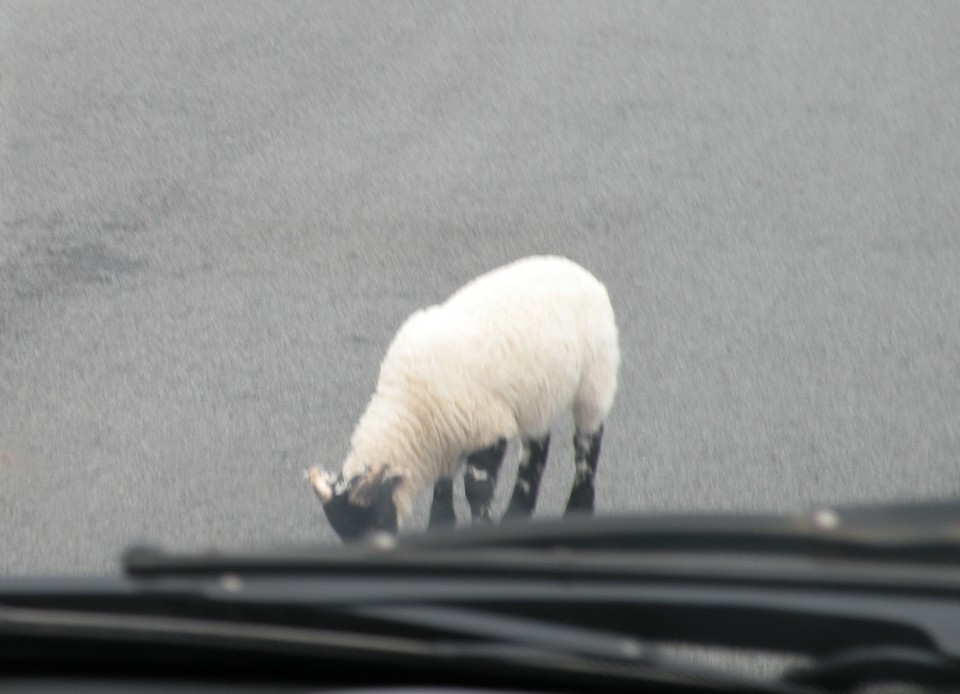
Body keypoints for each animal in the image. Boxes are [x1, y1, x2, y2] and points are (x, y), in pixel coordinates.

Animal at [308, 256, 624, 544]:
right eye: (343, 530)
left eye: (376, 517)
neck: (411, 402)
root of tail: (577, 270)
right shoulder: (445, 432)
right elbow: (443, 481)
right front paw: (440, 525)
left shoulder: (488, 427)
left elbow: (476, 488)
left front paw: (481, 526)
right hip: (538, 396)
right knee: (538, 446)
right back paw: (517, 514)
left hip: (595, 378)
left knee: (587, 445)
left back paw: (579, 508)